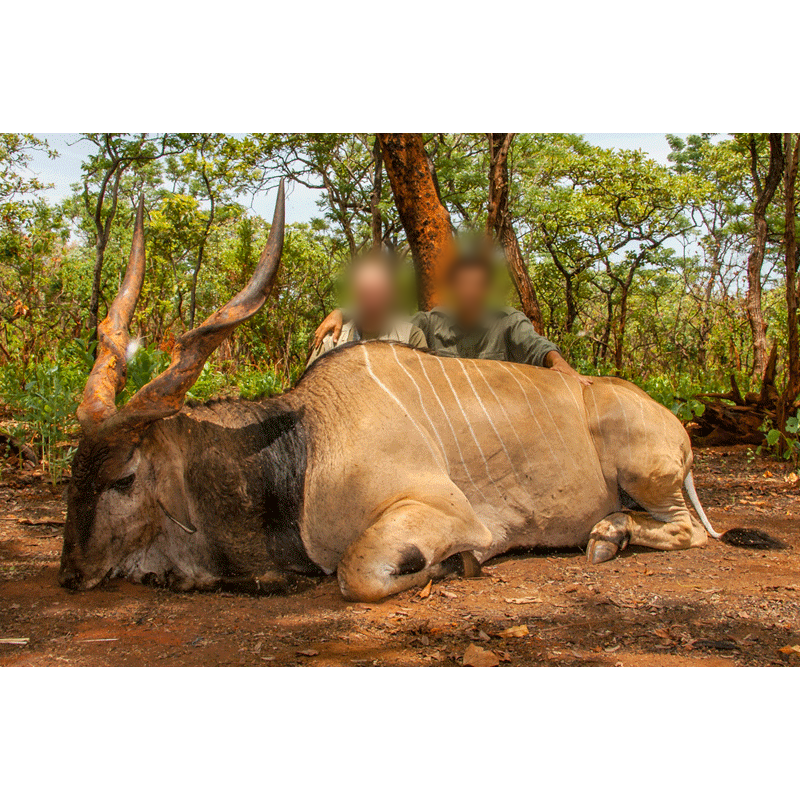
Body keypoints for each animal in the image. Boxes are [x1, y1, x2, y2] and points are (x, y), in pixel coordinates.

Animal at [59, 184, 760, 604]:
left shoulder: (447, 514)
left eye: (124, 478)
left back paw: (609, 535)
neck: (304, 445)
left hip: (647, 473)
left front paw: (456, 566)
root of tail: (674, 427)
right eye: (72, 474)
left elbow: (360, 574)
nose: (69, 574)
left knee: (688, 531)